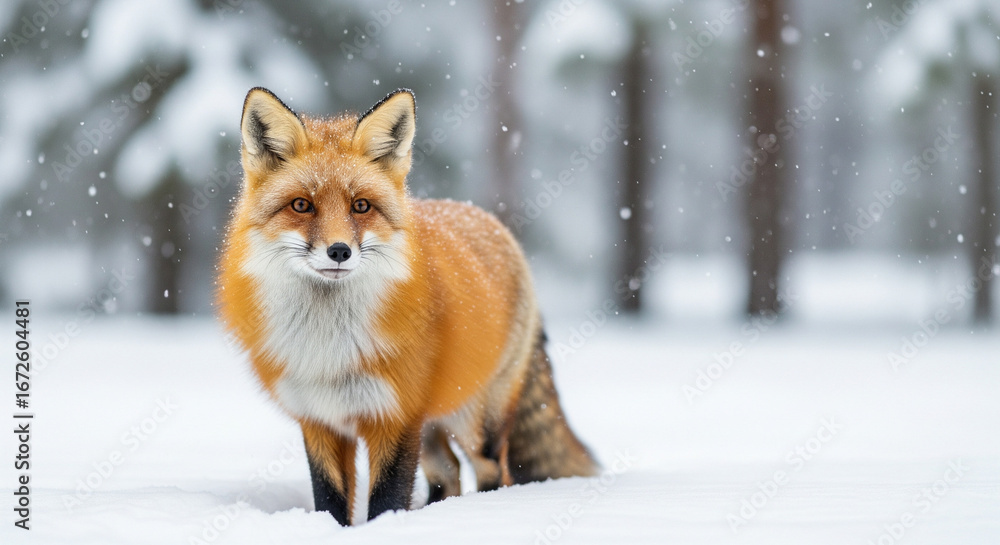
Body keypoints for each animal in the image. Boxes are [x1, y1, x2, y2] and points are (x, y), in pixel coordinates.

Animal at [217, 87, 597, 525]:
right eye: (301, 205)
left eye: (361, 206)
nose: (339, 251)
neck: (330, 348)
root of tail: (490, 222)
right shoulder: (321, 420)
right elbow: (330, 501)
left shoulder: (395, 417)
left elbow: (386, 499)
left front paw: (386, 529)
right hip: (431, 427)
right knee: (448, 473)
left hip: (473, 420)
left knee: (490, 470)